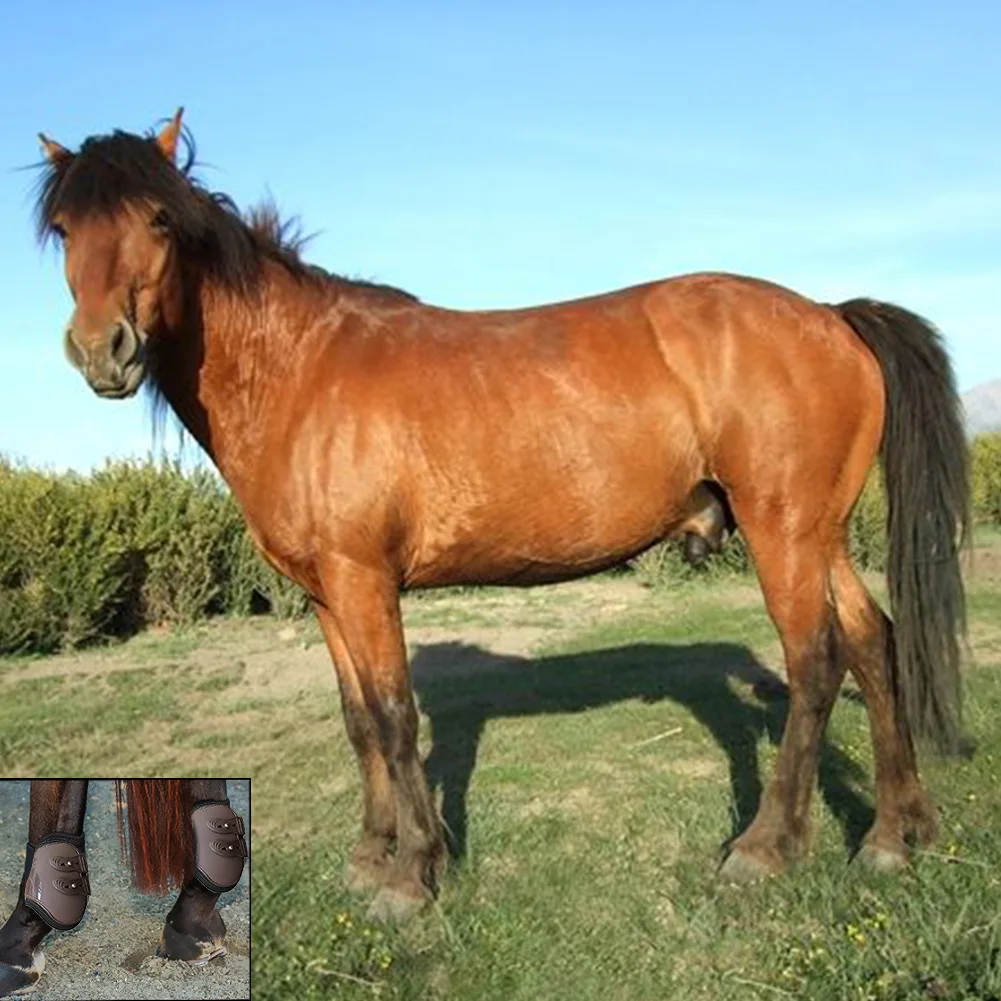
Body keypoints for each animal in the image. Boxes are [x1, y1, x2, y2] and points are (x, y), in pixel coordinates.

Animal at [33, 110, 969, 923]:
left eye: (159, 216)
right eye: (65, 229)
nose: (101, 350)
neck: (298, 371)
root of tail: (829, 317)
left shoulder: (364, 580)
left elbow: (393, 715)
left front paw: (410, 877)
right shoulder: (326, 594)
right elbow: (356, 720)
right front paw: (371, 854)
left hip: (782, 533)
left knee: (815, 662)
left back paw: (765, 847)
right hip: (818, 534)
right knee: (872, 642)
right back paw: (892, 835)